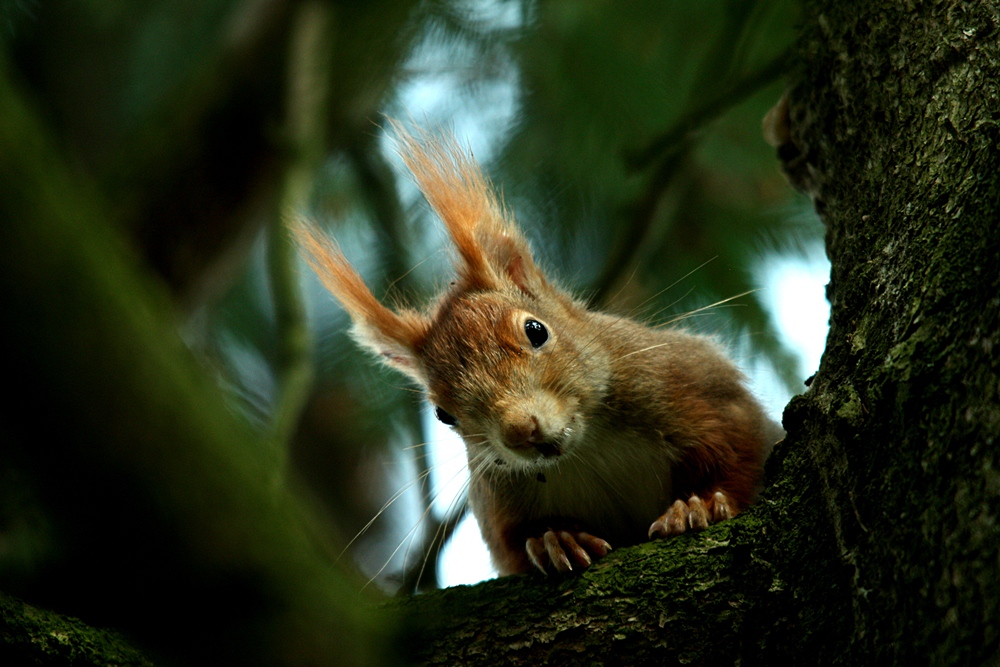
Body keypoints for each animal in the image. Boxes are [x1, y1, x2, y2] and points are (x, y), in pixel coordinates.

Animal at [296, 128, 780, 576]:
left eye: (536, 330)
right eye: (443, 414)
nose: (519, 431)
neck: (586, 449)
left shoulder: (695, 388)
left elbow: (738, 450)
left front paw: (699, 504)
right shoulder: (499, 501)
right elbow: (513, 545)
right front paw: (555, 540)